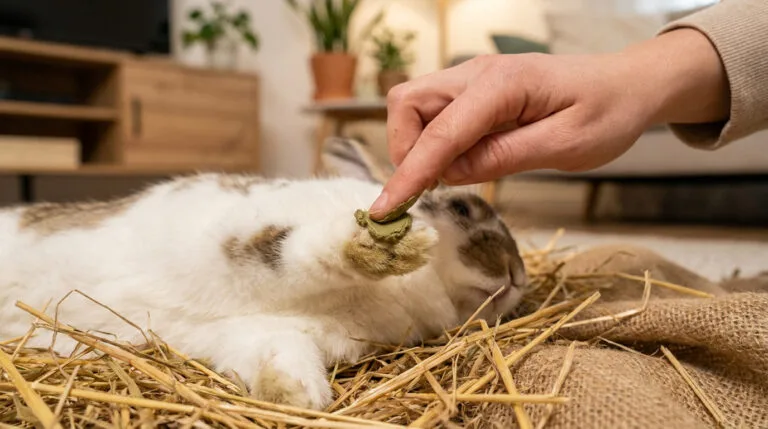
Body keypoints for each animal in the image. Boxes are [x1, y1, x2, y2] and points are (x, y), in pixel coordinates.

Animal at [0, 137, 527, 410]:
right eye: (462, 208)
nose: (519, 275)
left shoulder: (265, 332)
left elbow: (278, 357)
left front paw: (296, 397)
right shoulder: (242, 240)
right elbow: (295, 250)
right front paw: (386, 248)